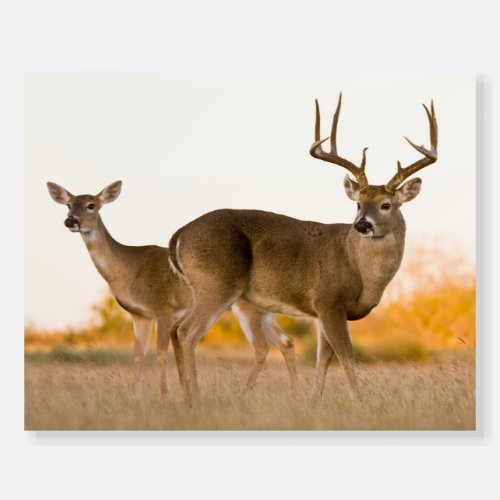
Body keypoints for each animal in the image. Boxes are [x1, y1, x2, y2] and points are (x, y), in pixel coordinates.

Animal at [46, 182, 296, 400]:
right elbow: (138, 355)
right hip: (263, 310)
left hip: (245, 307)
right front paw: (135, 396)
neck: (126, 269)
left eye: (91, 204)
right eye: (68, 204)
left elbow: (160, 352)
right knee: (285, 341)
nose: (71, 221)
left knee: (262, 347)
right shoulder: (139, 315)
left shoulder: (162, 308)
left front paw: (165, 397)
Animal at [168, 94, 438, 406]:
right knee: (187, 332)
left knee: (175, 329)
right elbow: (346, 356)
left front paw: (312, 401)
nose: (361, 224)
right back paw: (194, 399)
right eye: (358, 203)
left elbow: (324, 358)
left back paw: (183, 395)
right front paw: (357, 402)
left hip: (203, 289)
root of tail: (179, 235)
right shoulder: (329, 300)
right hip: (217, 284)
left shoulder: (321, 312)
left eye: (386, 205)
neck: (359, 268)